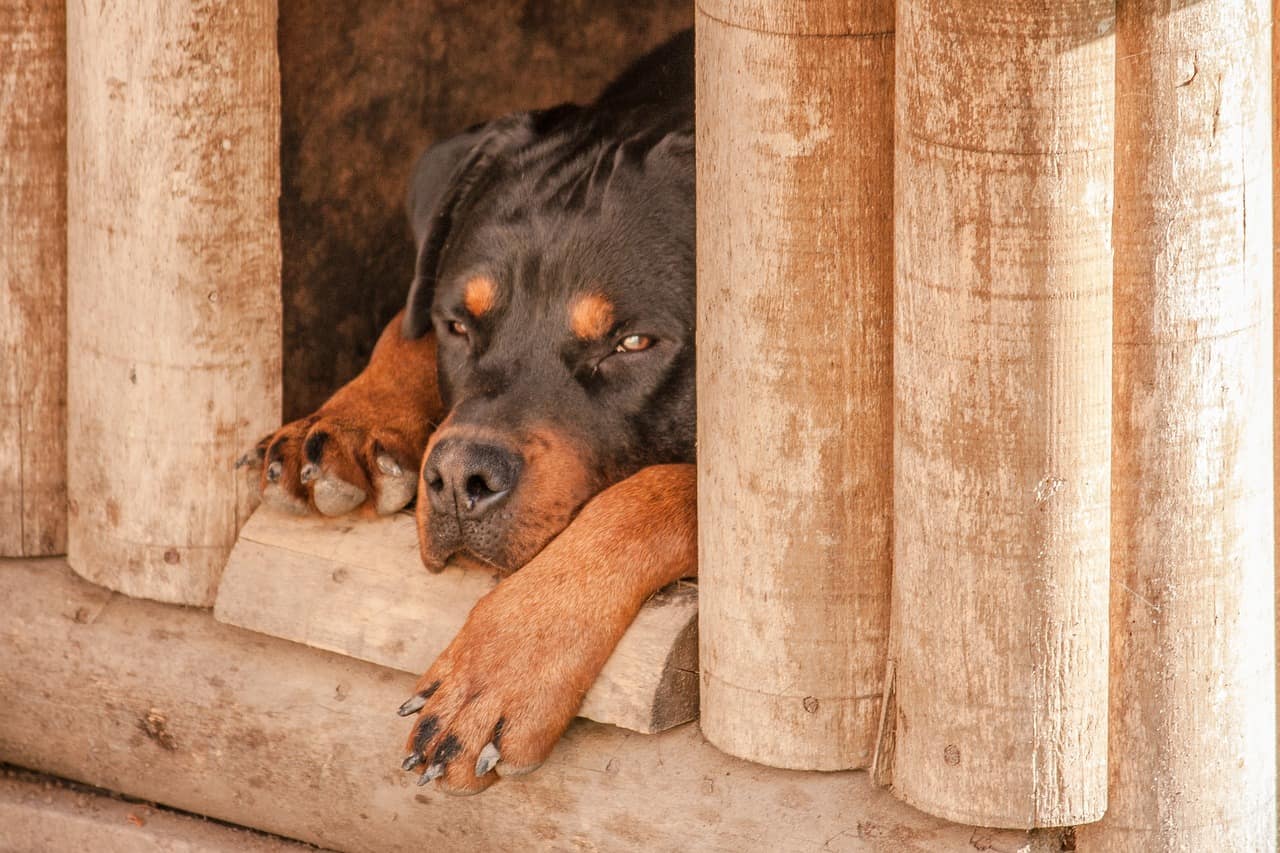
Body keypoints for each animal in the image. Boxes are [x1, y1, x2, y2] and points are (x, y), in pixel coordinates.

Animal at [243, 29, 696, 794]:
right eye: (458, 324)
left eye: (633, 343)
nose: (459, 479)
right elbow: (403, 323)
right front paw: (348, 421)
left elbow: (656, 491)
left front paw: (502, 665)